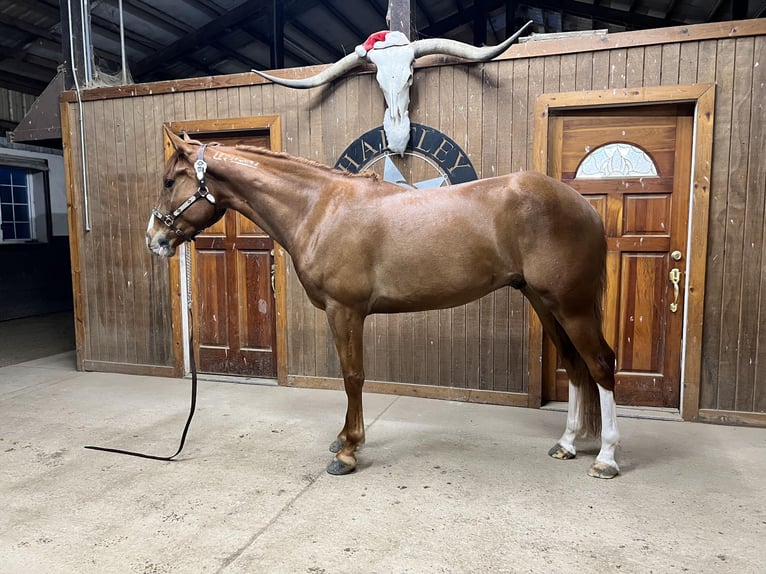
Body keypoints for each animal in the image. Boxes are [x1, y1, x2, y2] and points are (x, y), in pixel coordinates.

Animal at [147, 129, 620, 482]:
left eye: (170, 181)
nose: (155, 240)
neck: (320, 209)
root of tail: (585, 206)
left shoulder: (345, 309)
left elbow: (352, 376)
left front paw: (348, 451)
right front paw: (344, 440)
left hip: (572, 305)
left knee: (600, 364)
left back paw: (606, 459)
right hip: (544, 302)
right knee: (576, 367)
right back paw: (566, 445)